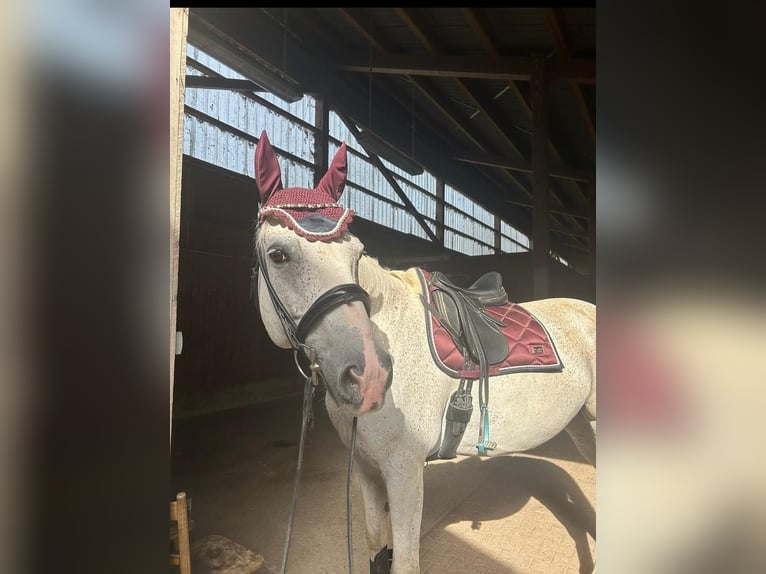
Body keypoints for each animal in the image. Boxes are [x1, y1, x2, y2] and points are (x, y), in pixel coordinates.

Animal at [252, 131, 597, 574]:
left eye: (356, 254)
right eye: (278, 255)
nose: (370, 376)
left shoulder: (404, 472)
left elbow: (405, 561)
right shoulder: (366, 469)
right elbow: (374, 545)